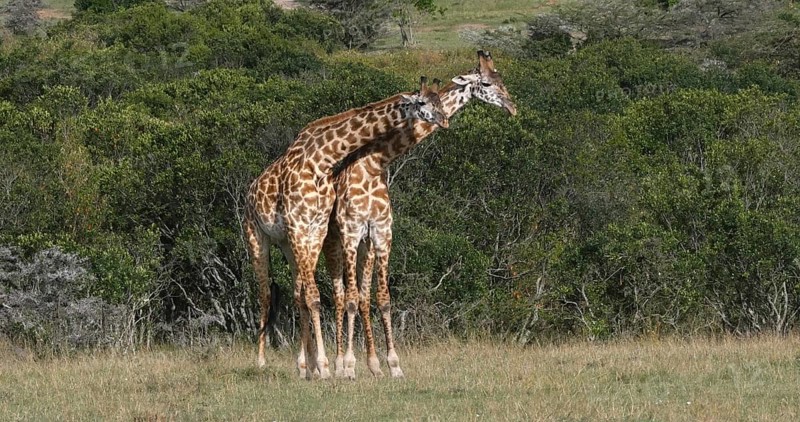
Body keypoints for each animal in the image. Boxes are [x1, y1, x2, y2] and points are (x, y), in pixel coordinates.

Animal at [244, 76, 449, 380]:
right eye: (422, 102)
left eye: (439, 101)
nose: (444, 120)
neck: (321, 160)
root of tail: (250, 191)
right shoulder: (299, 225)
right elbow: (315, 297)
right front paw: (326, 366)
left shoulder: (315, 229)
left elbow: (312, 296)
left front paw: (319, 366)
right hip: (257, 236)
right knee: (265, 295)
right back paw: (261, 362)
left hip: (288, 244)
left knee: (296, 293)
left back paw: (305, 366)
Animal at [323, 50, 517, 379]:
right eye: (488, 83)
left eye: (502, 78)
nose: (513, 107)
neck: (373, 164)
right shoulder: (351, 232)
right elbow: (348, 300)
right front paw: (348, 367)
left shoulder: (381, 233)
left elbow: (382, 299)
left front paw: (392, 365)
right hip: (334, 245)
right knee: (340, 296)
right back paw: (337, 365)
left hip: (364, 247)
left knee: (361, 295)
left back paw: (371, 364)